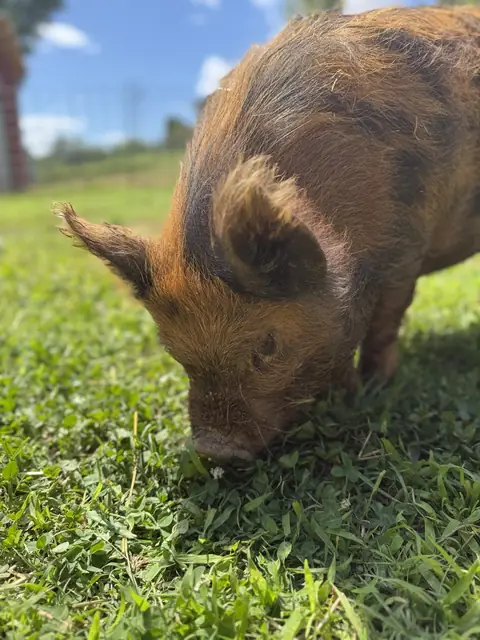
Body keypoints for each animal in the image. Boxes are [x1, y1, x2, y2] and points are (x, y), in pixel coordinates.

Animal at [55, 6, 480, 463]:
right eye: (171, 348)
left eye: (268, 346)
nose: (214, 448)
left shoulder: (405, 251)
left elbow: (384, 325)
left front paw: (373, 388)